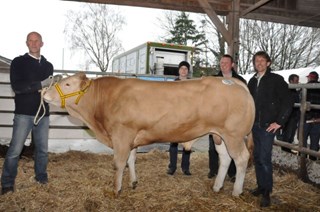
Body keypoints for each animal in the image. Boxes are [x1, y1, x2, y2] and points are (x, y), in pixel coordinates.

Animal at [43, 73, 255, 197]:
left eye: (67, 84)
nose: (44, 93)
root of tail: (233, 81)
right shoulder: (131, 138)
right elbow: (131, 160)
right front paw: (133, 182)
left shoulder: (121, 135)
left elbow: (118, 163)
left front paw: (116, 189)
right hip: (218, 135)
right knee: (226, 158)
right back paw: (217, 187)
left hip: (234, 135)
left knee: (241, 158)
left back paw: (236, 191)